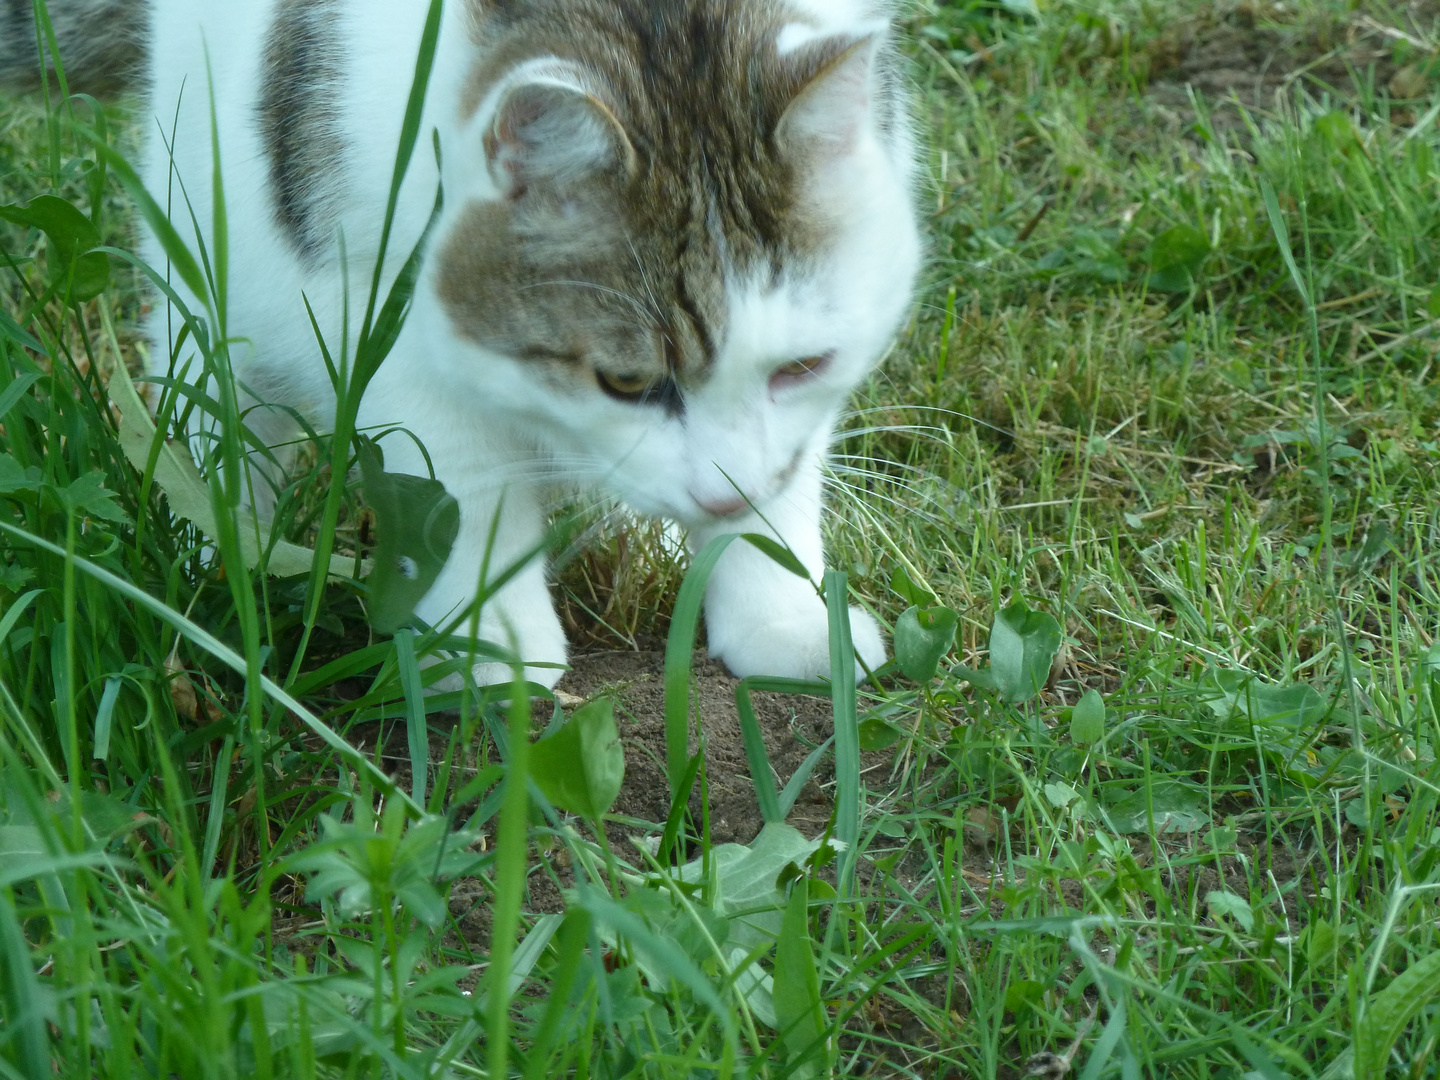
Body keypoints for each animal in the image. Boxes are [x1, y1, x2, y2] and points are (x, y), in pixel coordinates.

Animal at [0, 0, 921, 688]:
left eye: (802, 366)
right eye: (624, 383)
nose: (724, 498)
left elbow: (788, 481)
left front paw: (782, 610)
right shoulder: (385, 328)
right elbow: (467, 489)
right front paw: (496, 645)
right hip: (212, 217)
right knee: (209, 377)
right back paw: (214, 540)